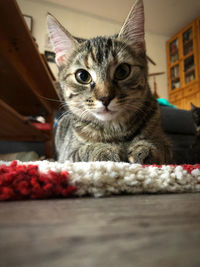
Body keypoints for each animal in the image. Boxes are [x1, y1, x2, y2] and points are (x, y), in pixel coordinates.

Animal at [47, 0, 172, 163]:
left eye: (122, 71)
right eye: (82, 76)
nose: (105, 98)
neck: (115, 130)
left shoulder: (166, 144)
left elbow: (158, 145)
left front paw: (143, 148)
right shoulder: (68, 153)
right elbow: (84, 150)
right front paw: (105, 150)